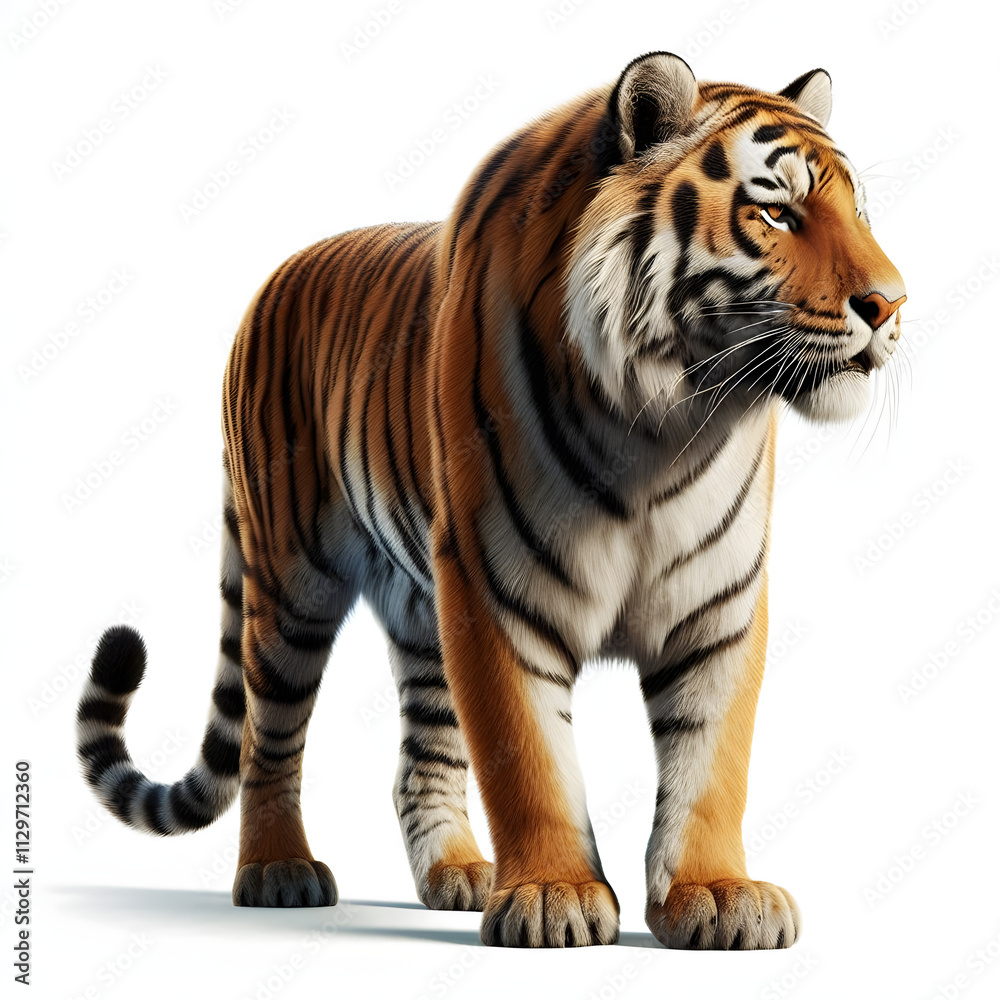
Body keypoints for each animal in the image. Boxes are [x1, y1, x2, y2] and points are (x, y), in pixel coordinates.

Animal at [76, 51, 905, 950]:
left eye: (859, 214)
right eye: (777, 212)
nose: (891, 303)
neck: (668, 423)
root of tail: (276, 277)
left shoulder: (717, 604)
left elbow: (712, 762)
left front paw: (716, 895)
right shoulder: (494, 590)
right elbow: (527, 755)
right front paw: (554, 895)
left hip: (419, 610)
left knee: (421, 762)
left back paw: (459, 872)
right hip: (293, 582)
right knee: (270, 737)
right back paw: (278, 870)